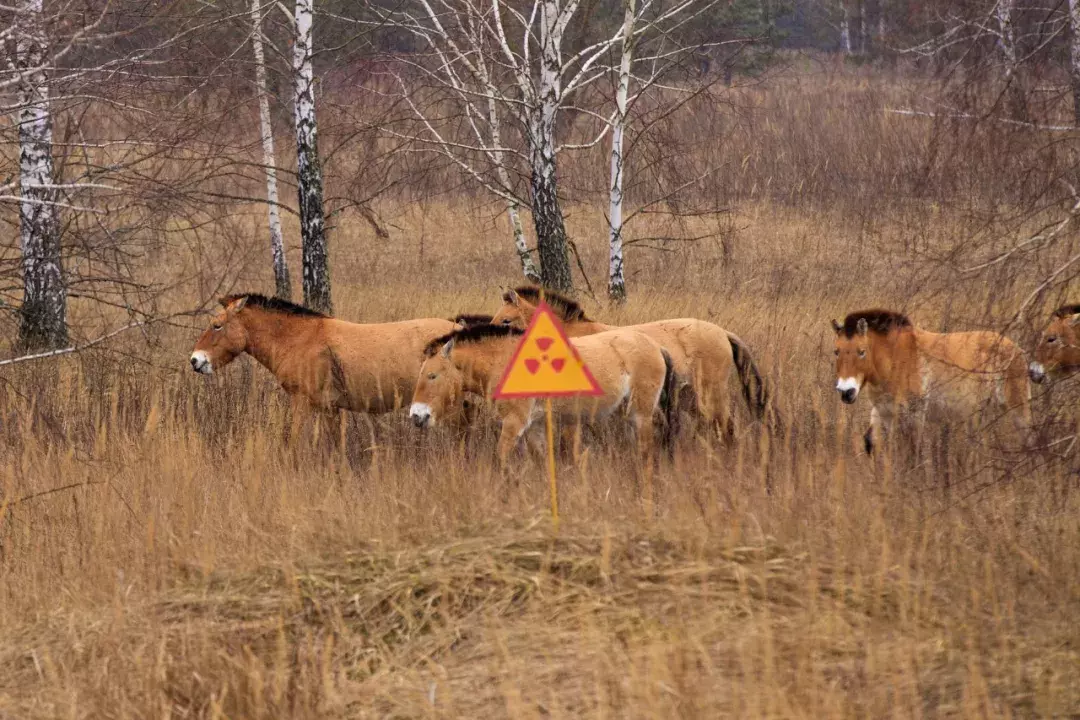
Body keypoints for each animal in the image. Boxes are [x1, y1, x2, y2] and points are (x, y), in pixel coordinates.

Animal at [406, 325, 673, 468]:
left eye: (432, 375)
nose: (417, 416)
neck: (505, 361)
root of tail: (655, 346)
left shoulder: (514, 423)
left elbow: (501, 457)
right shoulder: (534, 426)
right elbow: (540, 459)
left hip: (641, 413)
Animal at [829, 310, 1032, 455]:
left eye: (861, 351)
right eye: (836, 351)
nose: (846, 392)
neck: (894, 359)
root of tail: (1016, 349)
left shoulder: (915, 414)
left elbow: (914, 450)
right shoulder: (883, 411)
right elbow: (871, 442)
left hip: (1018, 410)